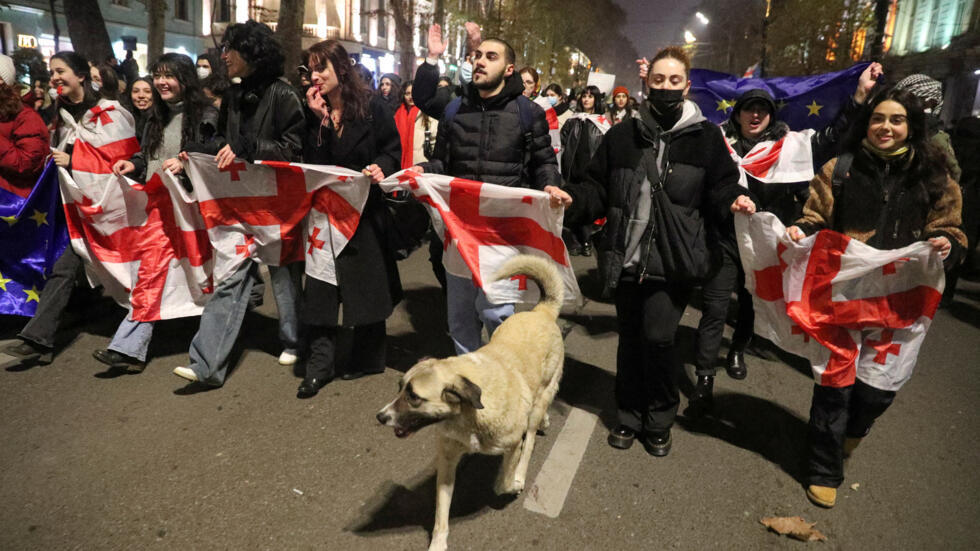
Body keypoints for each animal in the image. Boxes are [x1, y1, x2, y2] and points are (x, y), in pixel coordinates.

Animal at [378, 256, 568, 551]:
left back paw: (522, 471)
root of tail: (542, 311)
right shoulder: (446, 462)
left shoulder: (511, 445)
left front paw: (511, 483)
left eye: (414, 397)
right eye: (400, 388)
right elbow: (441, 513)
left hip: (539, 401)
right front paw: (438, 543)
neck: (466, 414)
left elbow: (502, 481)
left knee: (530, 440)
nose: (380, 416)